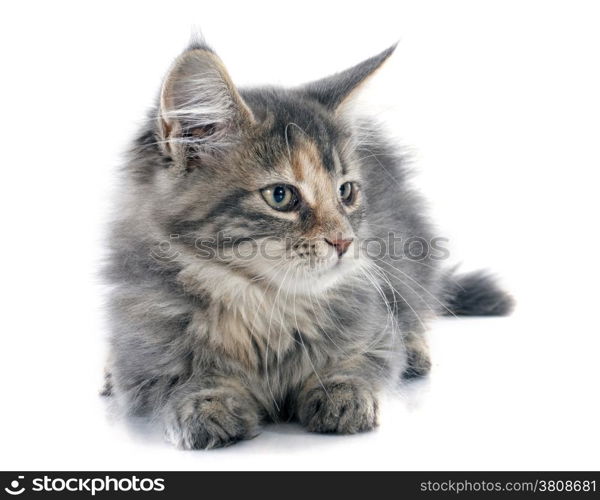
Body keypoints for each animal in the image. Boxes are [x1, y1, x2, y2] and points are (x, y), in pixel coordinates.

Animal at [102, 39, 510, 450]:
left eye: (346, 192)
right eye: (281, 196)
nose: (344, 241)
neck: (262, 307)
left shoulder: (373, 325)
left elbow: (359, 363)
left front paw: (343, 396)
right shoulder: (143, 355)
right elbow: (179, 381)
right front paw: (207, 404)